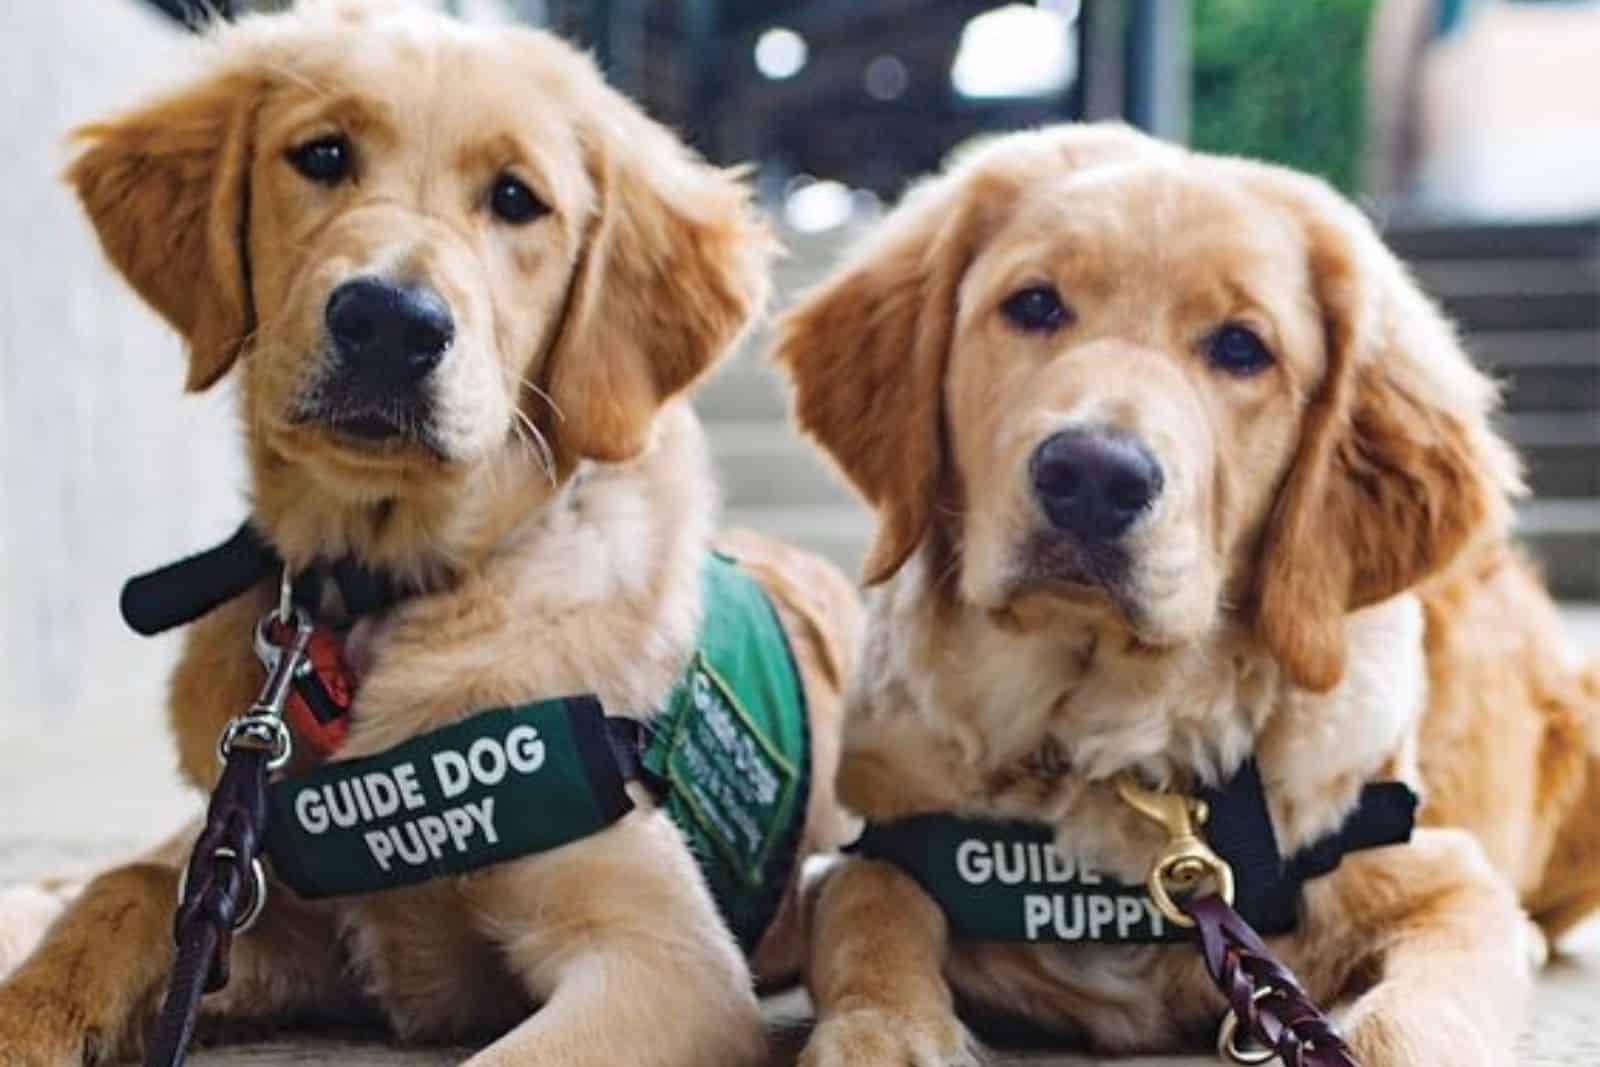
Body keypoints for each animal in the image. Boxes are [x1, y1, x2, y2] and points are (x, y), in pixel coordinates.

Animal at [0, 2, 864, 1067]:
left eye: (517, 199)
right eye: (322, 154)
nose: (388, 320)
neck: (376, 593)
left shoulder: (667, 955)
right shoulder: (257, 892)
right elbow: (123, 892)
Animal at [774, 120, 1600, 1062]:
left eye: (1242, 347)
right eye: (1033, 303)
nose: (1094, 476)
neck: (1114, 743)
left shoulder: (1444, 881)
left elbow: (1408, 1017)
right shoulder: (871, 847)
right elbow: (869, 906)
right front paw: (883, 1032)